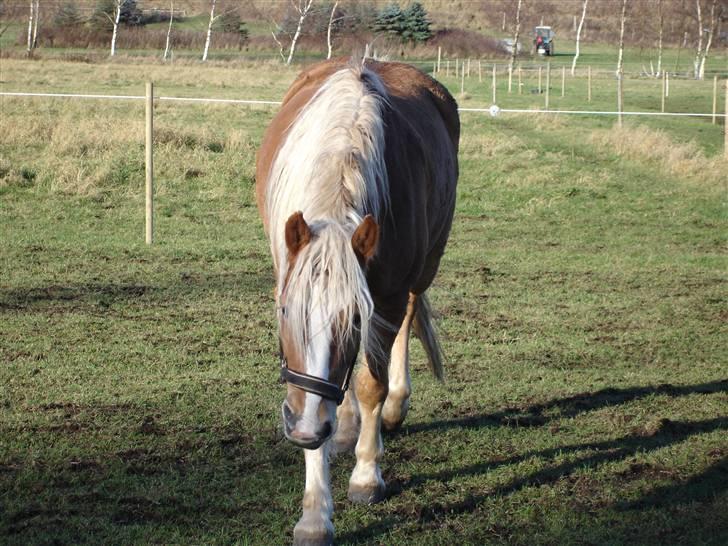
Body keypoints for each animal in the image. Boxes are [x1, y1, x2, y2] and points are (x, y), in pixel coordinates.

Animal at [256, 57, 458, 540]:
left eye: (354, 320)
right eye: (285, 311)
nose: (305, 429)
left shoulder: (385, 297)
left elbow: (370, 385)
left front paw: (367, 475)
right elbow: (318, 395)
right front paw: (314, 515)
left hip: (421, 271)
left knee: (405, 326)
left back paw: (392, 409)